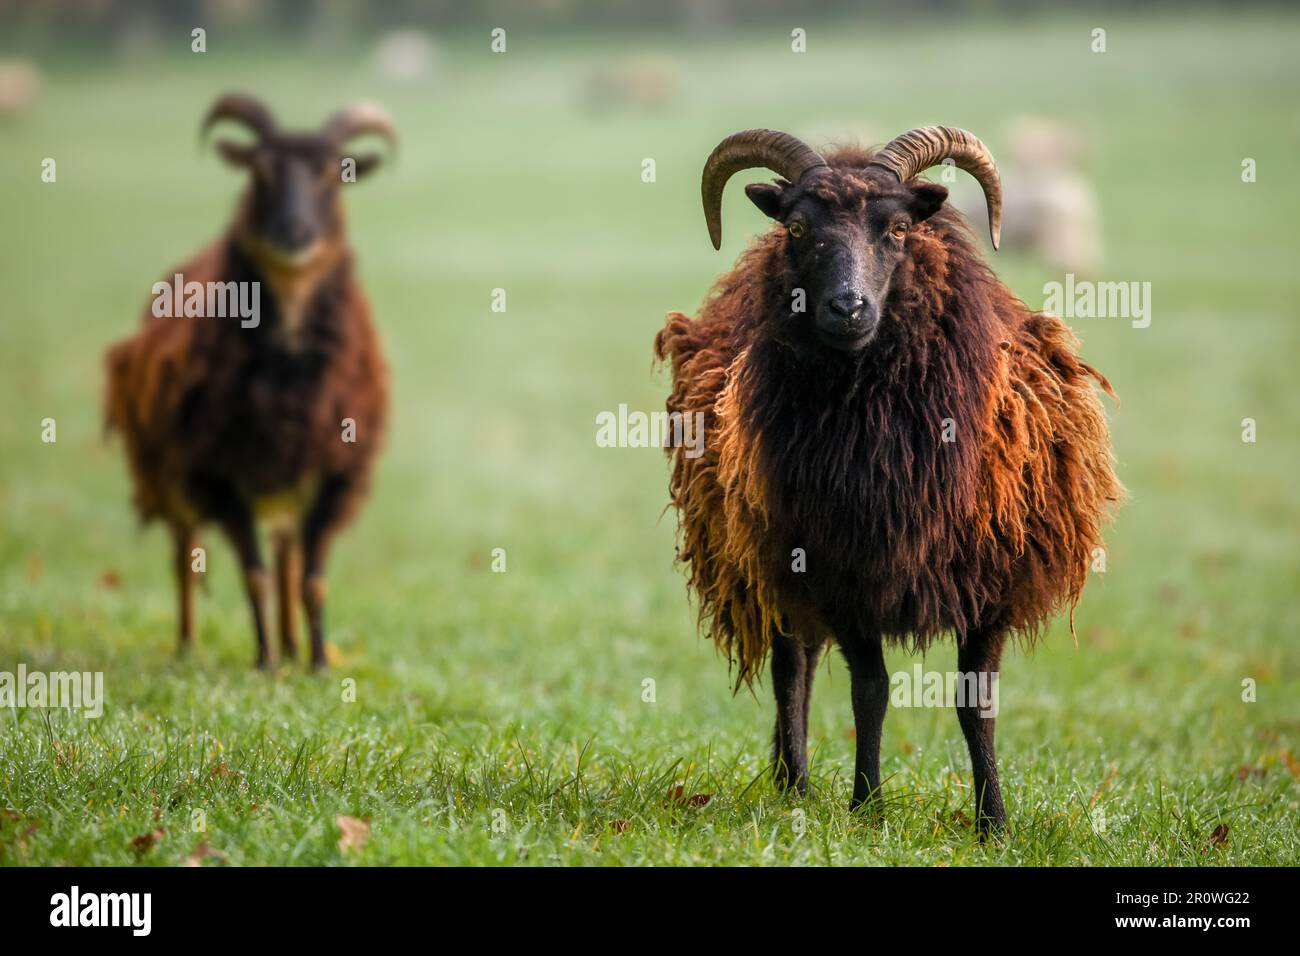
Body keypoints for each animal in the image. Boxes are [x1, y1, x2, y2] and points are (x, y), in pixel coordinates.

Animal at [105, 93, 395, 671]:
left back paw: (292, 643)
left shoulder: (335, 471)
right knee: (186, 555)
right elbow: (252, 574)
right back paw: (188, 646)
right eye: (260, 173)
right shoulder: (216, 471)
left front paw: (318, 665)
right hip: (169, 472)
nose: (294, 233)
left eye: (335, 175)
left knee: (286, 554)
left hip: (285, 478)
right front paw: (265, 664)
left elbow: (312, 581)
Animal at [655, 125, 1123, 832]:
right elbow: (869, 692)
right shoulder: (839, 571)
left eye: (900, 228)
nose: (848, 308)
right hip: (767, 556)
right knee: (794, 664)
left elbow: (975, 703)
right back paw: (795, 782)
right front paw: (867, 805)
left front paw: (994, 822)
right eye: (797, 227)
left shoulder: (991, 578)